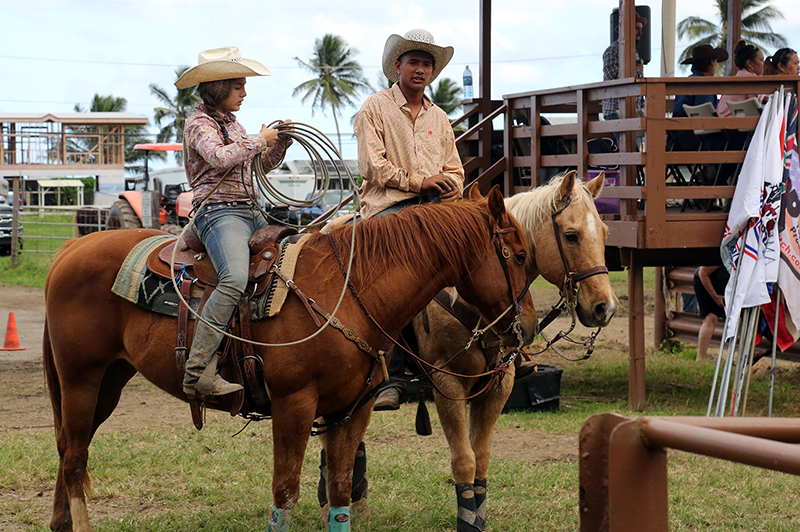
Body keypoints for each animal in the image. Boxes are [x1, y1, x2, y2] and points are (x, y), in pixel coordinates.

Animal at [40, 186, 536, 532]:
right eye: (520, 256)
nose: (527, 327)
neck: (349, 290)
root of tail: (70, 249)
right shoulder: (293, 404)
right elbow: (285, 492)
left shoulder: (351, 410)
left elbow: (339, 488)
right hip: (81, 379)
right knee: (75, 458)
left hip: (109, 381)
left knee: (66, 449)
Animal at [406, 171, 620, 532]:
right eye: (571, 235)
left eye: (605, 233)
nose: (605, 307)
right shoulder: (446, 383)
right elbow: (464, 460)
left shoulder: (499, 382)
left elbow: (481, 457)